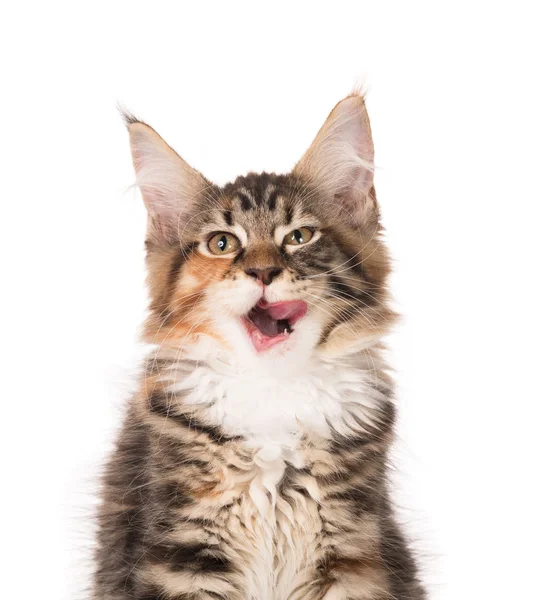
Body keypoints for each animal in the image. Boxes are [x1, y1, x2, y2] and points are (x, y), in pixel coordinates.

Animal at [93, 94, 428, 600]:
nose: (263, 272)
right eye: (221, 243)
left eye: (299, 236)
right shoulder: (180, 554)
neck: (274, 394)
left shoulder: (354, 553)